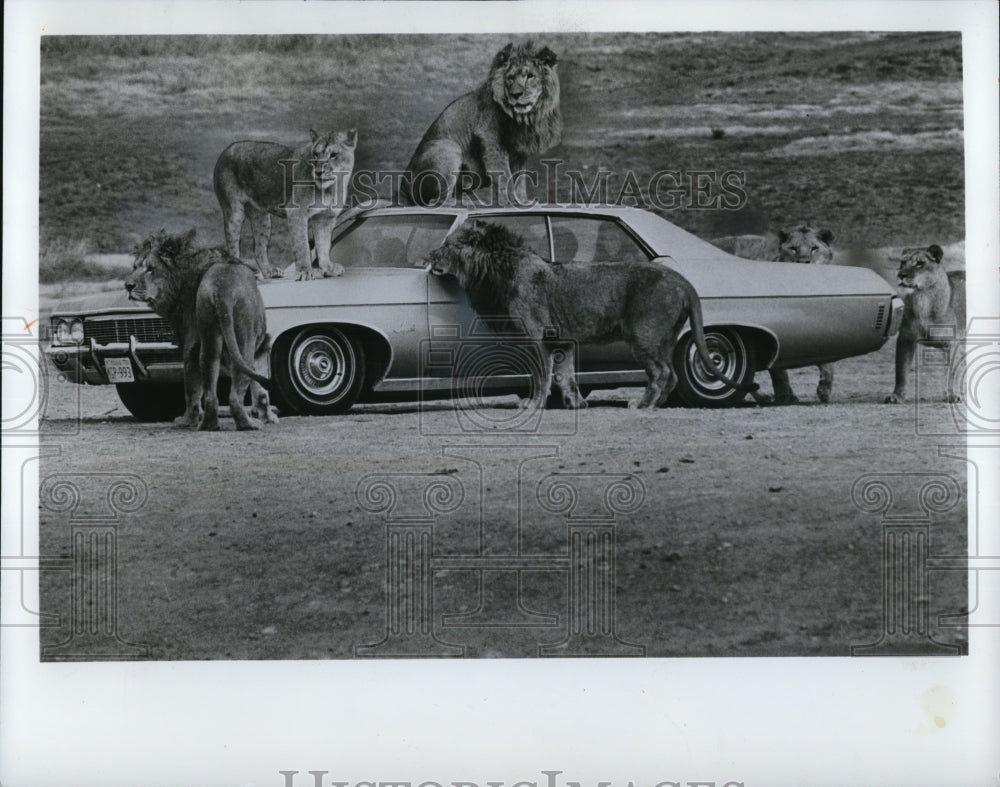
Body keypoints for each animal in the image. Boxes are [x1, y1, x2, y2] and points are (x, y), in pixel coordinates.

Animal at [127, 229, 282, 430]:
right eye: (135, 266)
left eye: (150, 268)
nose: (127, 286)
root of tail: (222, 289)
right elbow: (258, 384)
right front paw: (266, 416)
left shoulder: (191, 339)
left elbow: (259, 387)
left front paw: (267, 415)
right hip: (242, 339)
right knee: (231, 393)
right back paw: (244, 423)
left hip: (209, 336)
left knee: (206, 388)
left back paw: (205, 423)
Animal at [215, 127, 360, 280]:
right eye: (315, 154)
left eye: (333, 155)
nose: (319, 172)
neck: (332, 187)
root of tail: (228, 149)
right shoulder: (297, 212)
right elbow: (302, 245)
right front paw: (305, 272)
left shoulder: (325, 217)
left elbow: (324, 245)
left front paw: (328, 269)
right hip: (234, 212)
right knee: (233, 248)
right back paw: (237, 271)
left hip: (262, 218)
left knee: (258, 249)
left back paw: (270, 272)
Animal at [422, 219, 756, 410]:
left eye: (447, 245)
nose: (427, 256)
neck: (497, 268)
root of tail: (682, 280)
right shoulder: (562, 339)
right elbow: (566, 374)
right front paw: (575, 404)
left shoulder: (536, 336)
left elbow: (541, 375)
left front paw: (534, 404)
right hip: (665, 337)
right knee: (671, 374)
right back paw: (657, 404)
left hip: (643, 336)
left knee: (662, 373)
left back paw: (641, 404)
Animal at [888, 243, 964, 404]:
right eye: (903, 262)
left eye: (919, 264)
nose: (901, 275)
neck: (922, 300)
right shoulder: (905, 338)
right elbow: (901, 370)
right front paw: (897, 396)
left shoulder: (952, 344)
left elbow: (951, 373)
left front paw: (952, 395)